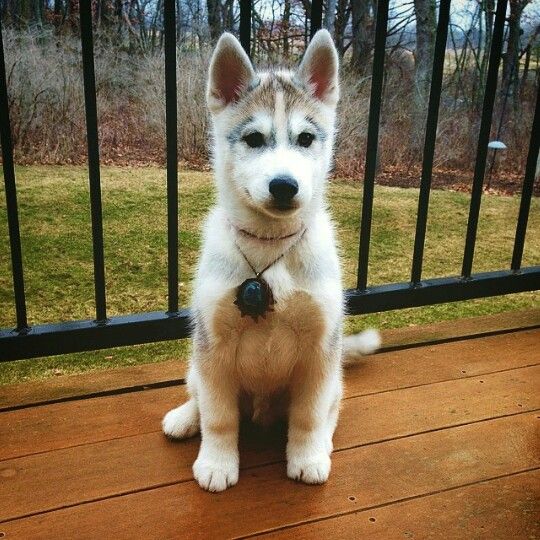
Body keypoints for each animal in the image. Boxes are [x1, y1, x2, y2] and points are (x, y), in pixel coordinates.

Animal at [161, 30, 380, 494]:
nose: (284, 186)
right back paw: (185, 418)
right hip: (197, 357)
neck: (269, 247)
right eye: (254, 140)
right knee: (198, 393)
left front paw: (308, 456)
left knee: (331, 408)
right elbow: (219, 416)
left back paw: (324, 442)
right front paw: (217, 462)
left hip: (334, 375)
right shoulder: (214, 346)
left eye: (305, 139)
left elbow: (309, 415)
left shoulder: (319, 350)